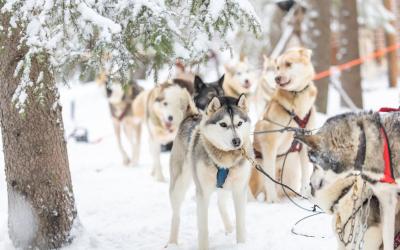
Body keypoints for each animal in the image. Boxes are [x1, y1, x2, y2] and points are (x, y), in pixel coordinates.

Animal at [168, 94, 250, 249]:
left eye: (239, 123)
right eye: (223, 124)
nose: (237, 141)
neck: (225, 160)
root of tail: (192, 115)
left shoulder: (239, 190)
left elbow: (241, 224)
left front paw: (242, 244)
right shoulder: (202, 193)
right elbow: (203, 228)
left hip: (225, 187)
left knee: (221, 204)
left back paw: (229, 229)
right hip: (178, 186)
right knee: (175, 215)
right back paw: (172, 243)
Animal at [252, 47, 318, 202]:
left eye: (288, 64)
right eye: (278, 67)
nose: (277, 78)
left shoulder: (305, 143)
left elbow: (306, 175)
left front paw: (305, 196)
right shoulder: (270, 143)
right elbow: (269, 177)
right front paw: (272, 201)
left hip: (291, 173)